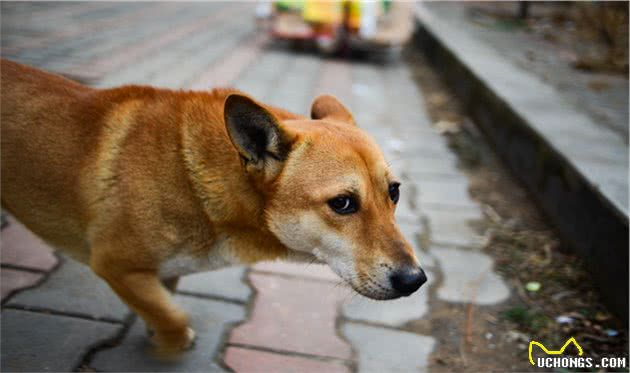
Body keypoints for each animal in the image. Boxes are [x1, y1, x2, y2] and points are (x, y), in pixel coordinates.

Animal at [1, 59, 430, 354]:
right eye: (342, 204)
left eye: (394, 192)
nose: (415, 280)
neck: (189, 178)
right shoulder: (114, 264)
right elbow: (174, 319)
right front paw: (169, 346)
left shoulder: (162, 273)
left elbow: (164, 309)